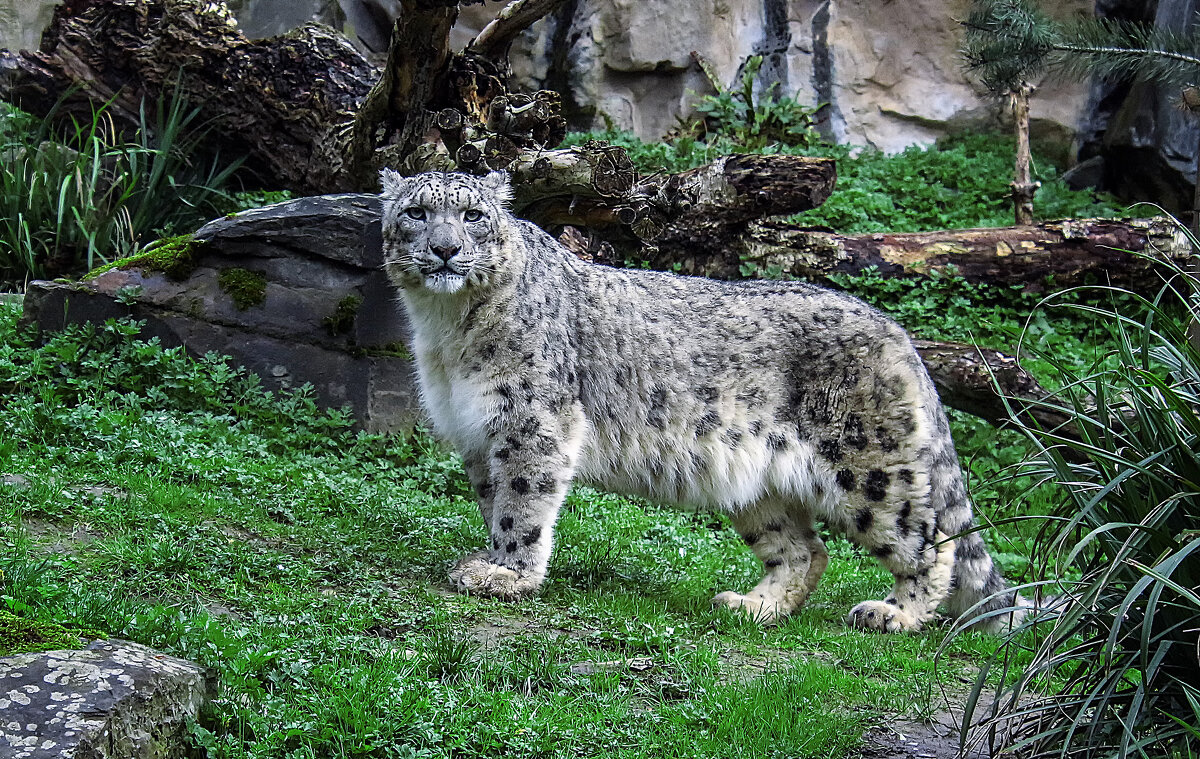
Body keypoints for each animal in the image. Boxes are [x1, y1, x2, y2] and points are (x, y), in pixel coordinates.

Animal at [379, 169, 1027, 629]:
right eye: (416, 212)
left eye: (472, 215)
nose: (443, 249)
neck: (447, 329)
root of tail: (897, 331)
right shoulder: (476, 432)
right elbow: (494, 502)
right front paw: (493, 560)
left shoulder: (530, 425)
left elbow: (521, 504)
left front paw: (507, 573)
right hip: (758, 483)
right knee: (804, 550)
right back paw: (753, 605)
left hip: (869, 470)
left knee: (929, 540)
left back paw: (895, 614)